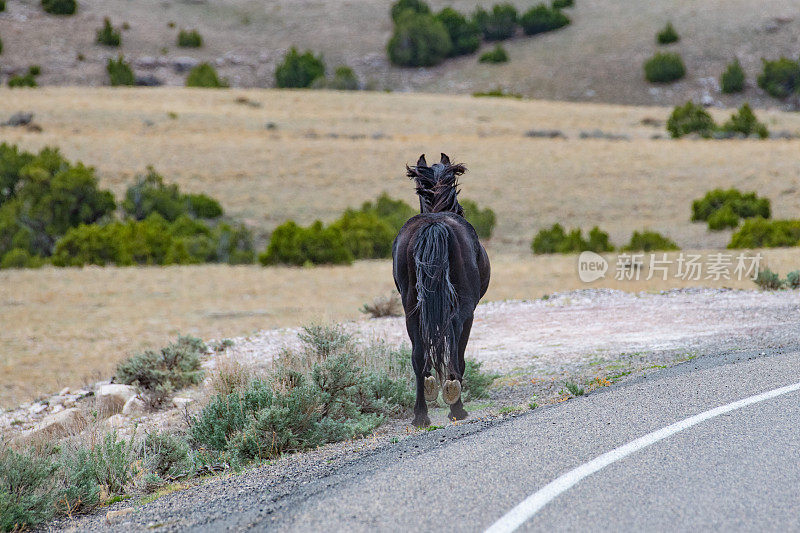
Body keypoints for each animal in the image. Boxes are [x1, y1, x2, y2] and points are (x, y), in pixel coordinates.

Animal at [390, 153, 490, 424]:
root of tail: (434, 224)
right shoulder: (470, 311)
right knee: (455, 349)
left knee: (418, 356)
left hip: (412, 310)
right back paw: (456, 406)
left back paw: (420, 415)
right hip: (463, 309)